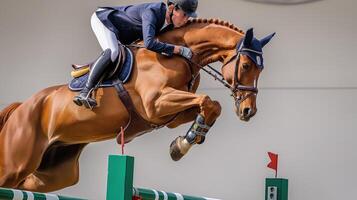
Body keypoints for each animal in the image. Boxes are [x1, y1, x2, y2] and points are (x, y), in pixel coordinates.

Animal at [0, 18, 276, 192]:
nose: (248, 111)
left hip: (54, 173)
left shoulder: (168, 116)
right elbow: (208, 101)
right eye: (246, 66)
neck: (174, 54)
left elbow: (211, 106)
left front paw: (184, 142)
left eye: (261, 69)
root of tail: (21, 108)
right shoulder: (156, 103)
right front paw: (183, 144)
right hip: (16, 162)